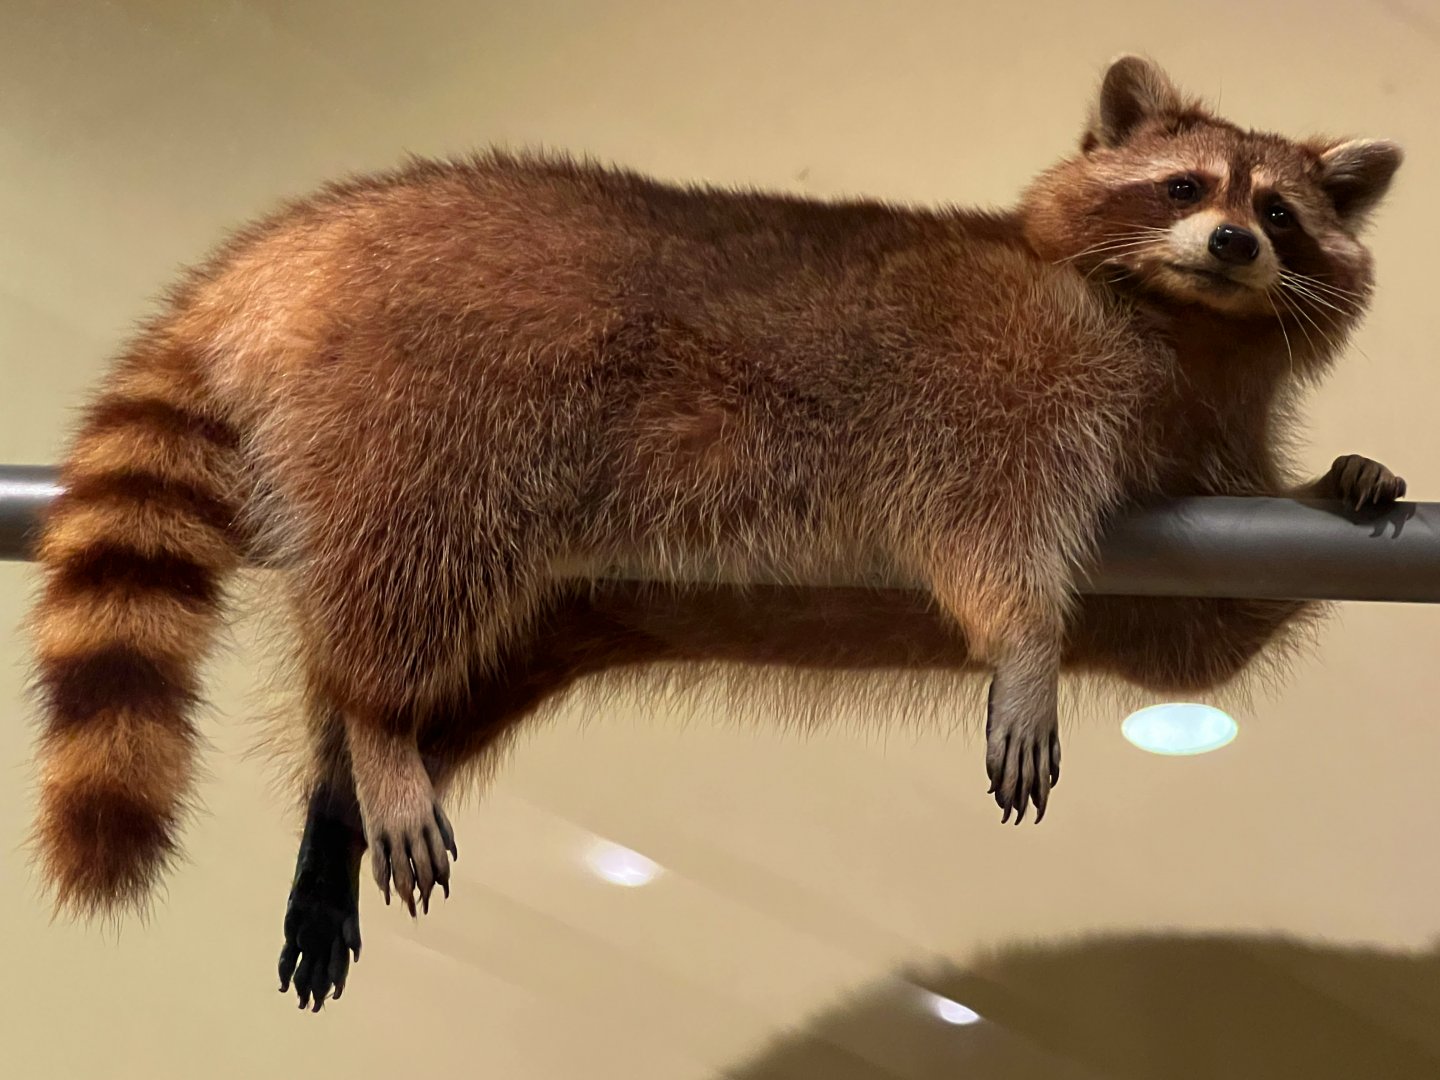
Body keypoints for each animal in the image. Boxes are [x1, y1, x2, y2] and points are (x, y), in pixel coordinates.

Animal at [27, 55, 1403, 1008]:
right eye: (1184, 186)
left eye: (1281, 215)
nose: (1231, 239)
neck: (1194, 332)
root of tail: (301, 241)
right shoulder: (1008, 383)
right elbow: (997, 532)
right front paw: (1025, 650)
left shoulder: (1199, 454)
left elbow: (1201, 636)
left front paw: (1329, 482)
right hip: (438, 411)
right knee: (408, 585)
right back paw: (372, 727)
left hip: (543, 606)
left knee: (460, 680)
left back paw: (339, 797)